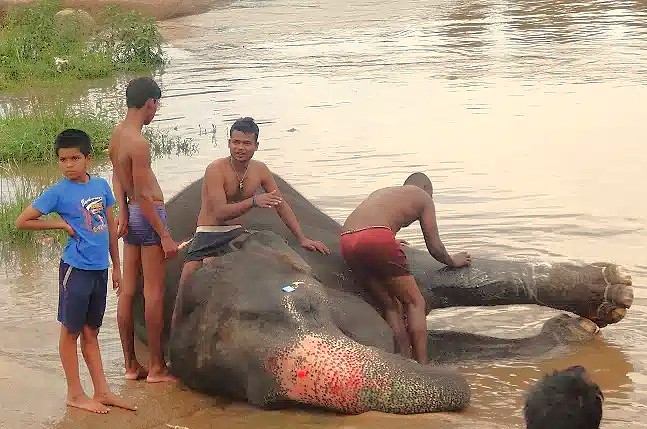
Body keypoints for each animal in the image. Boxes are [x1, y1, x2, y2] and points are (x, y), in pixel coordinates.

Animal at [131, 174, 634, 415]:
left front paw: (617, 292)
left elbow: (440, 270)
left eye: (311, 304)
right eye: (255, 395)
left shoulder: (325, 249)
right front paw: (577, 327)